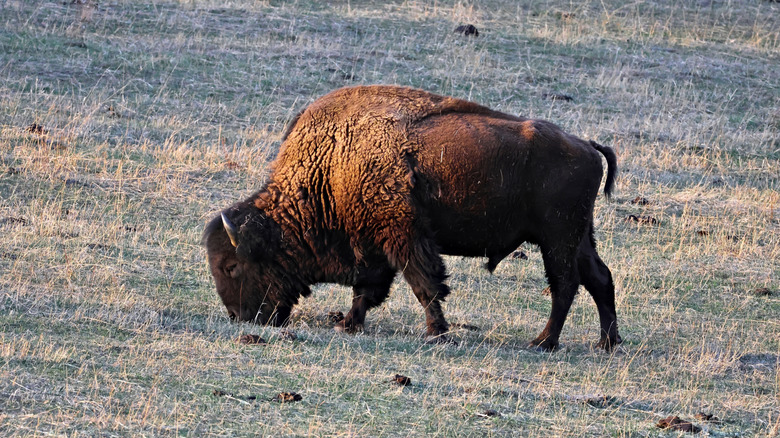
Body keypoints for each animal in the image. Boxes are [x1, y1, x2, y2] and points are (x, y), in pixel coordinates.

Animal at [203, 85, 621, 351]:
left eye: (231, 266)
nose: (240, 317)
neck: (331, 166)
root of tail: (587, 147)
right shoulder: (372, 244)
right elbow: (368, 289)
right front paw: (348, 324)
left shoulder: (404, 236)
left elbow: (424, 285)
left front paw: (437, 334)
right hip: (579, 237)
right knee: (599, 278)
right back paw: (607, 343)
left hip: (558, 239)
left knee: (566, 284)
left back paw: (543, 342)